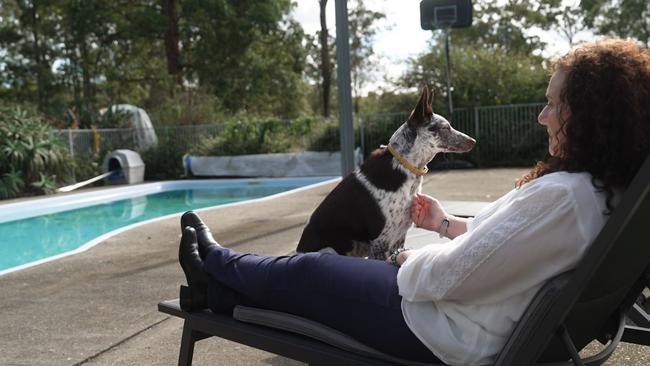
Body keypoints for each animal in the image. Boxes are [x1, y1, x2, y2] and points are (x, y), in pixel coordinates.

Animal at [296, 87, 474, 258]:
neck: (404, 166)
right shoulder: (380, 242)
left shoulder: (398, 238)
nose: (473, 141)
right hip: (329, 250)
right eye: (445, 127)